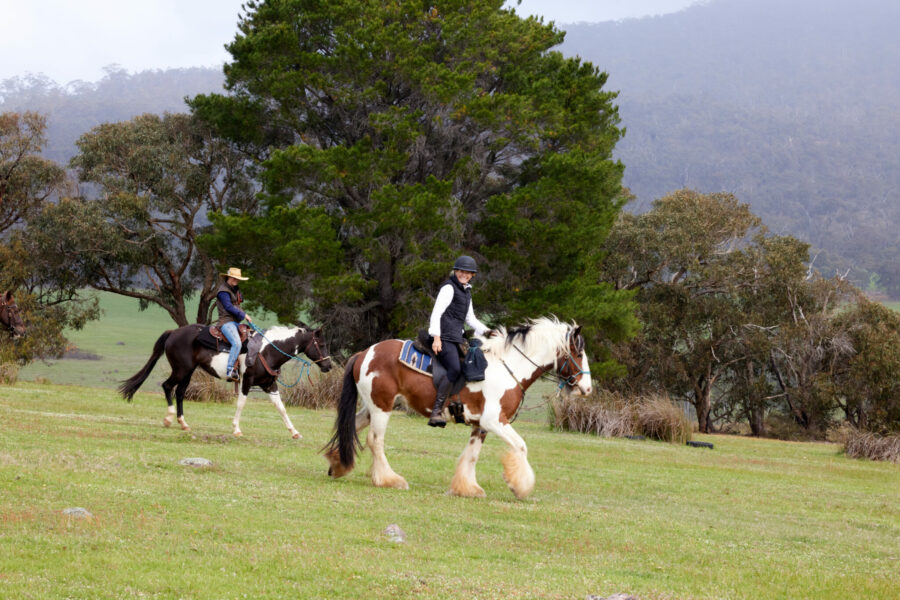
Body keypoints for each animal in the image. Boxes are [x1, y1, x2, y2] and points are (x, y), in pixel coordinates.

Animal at [119, 324, 332, 436]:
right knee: (167, 386)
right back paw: (169, 418)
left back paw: (183, 423)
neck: (266, 351)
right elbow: (241, 404)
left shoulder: (269, 384)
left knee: (179, 392)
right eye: (321, 344)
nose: (329, 366)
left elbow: (281, 408)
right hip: (181, 370)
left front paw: (294, 432)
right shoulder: (247, 382)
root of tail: (174, 332)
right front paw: (236, 429)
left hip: (188, 372)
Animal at [324, 317, 591, 500]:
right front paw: (519, 486)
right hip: (382, 407)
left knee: (351, 427)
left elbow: (472, 455)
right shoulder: (496, 421)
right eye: (578, 354)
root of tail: (364, 352)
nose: (587, 388)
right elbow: (521, 446)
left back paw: (339, 465)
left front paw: (467, 488)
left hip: (373, 407)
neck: (507, 368)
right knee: (374, 440)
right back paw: (390, 479)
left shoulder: (482, 425)